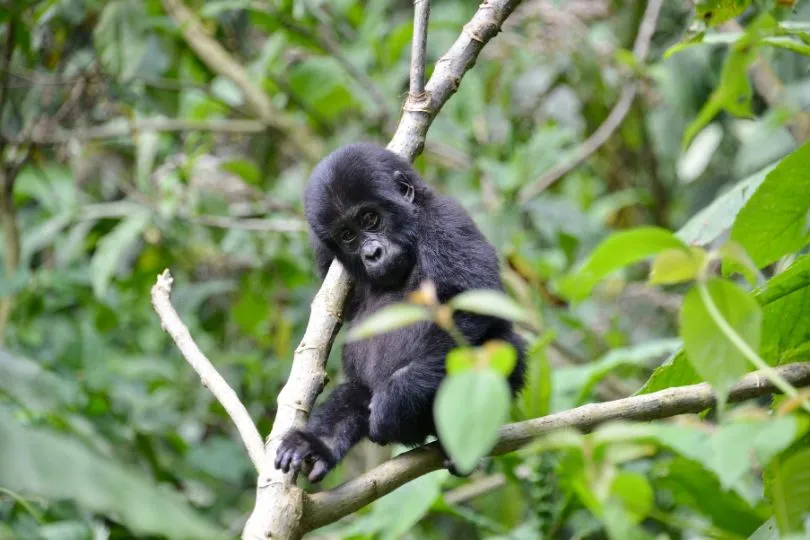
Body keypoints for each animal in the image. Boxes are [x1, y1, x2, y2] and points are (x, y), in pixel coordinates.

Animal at [272, 142, 524, 480]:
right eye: (347, 235)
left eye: (370, 218)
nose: (372, 253)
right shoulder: (328, 258)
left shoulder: (445, 219)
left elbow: (469, 305)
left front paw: (396, 402)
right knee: (355, 393)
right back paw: (319, 444)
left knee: (504, 348)